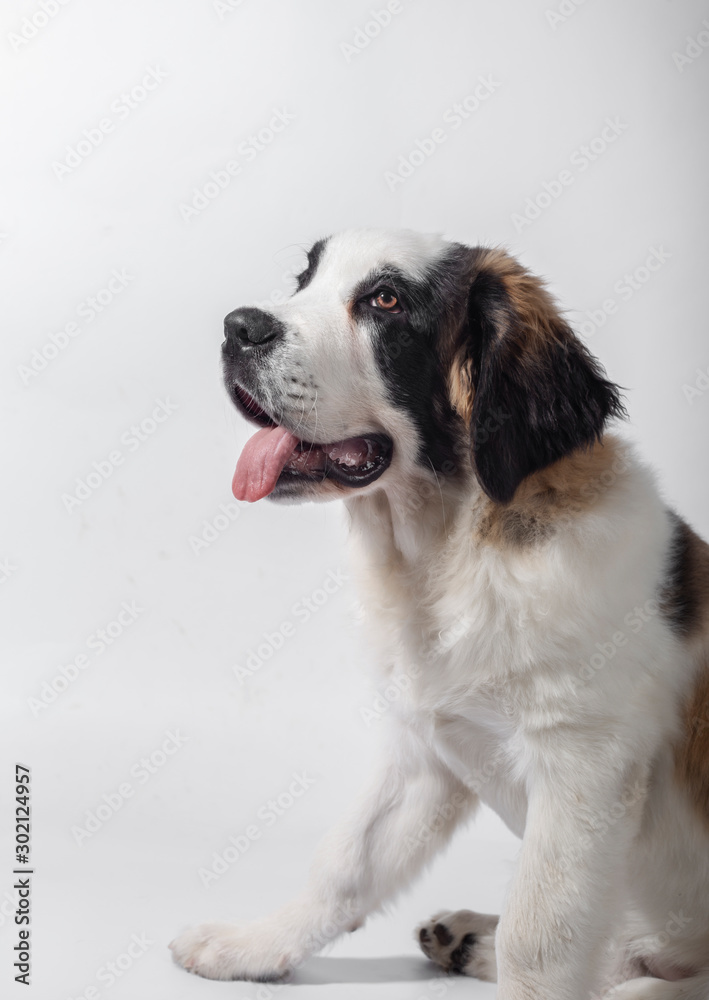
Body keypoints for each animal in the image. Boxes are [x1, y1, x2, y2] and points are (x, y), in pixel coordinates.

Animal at [171, 229, 708, 1000]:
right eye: (304, 279)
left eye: (385, 301)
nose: (238, 328)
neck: (449, 552)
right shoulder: (423, 748)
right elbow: (347, 860)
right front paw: (256, 945)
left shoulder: (582, 765)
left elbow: (539, 935)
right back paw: (464, 939)